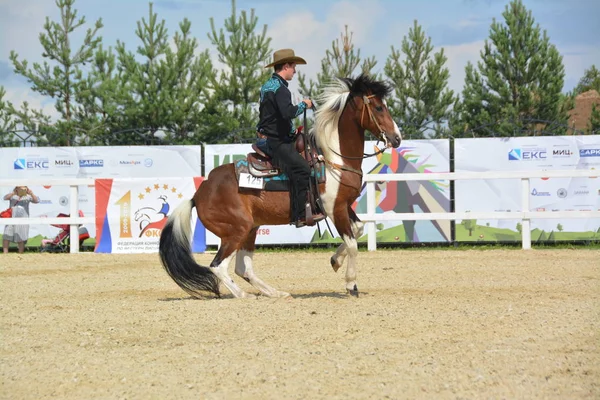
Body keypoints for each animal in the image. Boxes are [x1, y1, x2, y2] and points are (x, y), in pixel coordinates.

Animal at [159, 74, 404, 300]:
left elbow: (359, 230)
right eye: (379, 107)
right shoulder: (334, 208)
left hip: (250, 229)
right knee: (218, 265)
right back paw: (244, 295)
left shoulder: (342, 205)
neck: (333, 158)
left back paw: (275, 292)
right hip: (237, 230)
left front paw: (335, 260)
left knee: (243, 268)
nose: (397, 138)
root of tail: (199, 193)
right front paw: (351, 284)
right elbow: (352, 243)